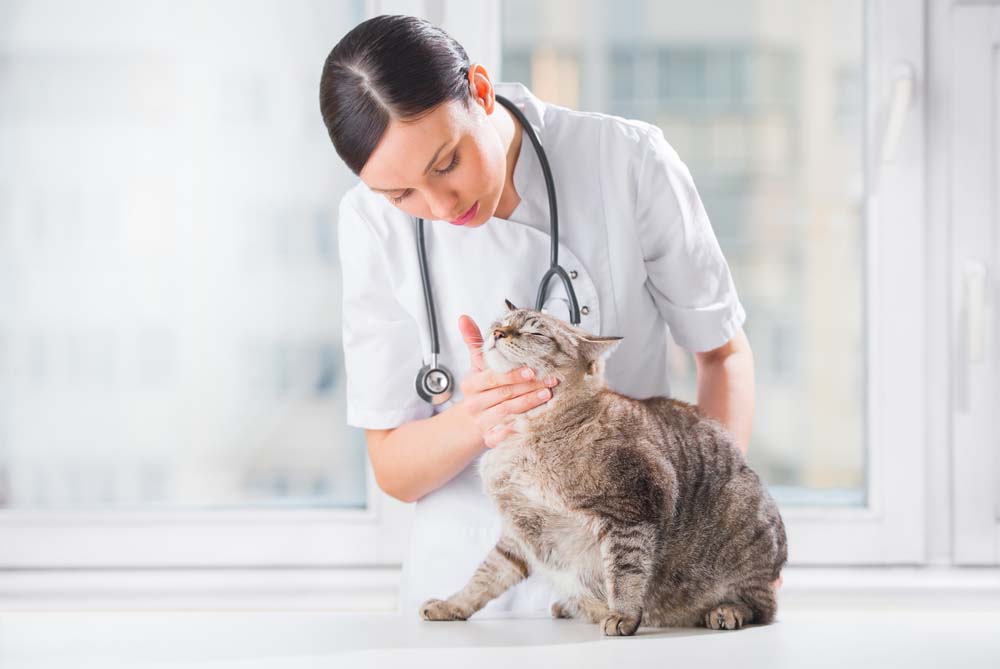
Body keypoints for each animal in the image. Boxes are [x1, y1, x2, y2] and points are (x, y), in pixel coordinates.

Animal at [418, 300, 784, 636]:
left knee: (762, 607)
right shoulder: (519, 532)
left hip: (745, 533)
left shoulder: (632, 507)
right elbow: (484, 577)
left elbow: (625, 573)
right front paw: (450, 605)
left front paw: (622, 615)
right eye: (501, 323)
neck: (523, 434)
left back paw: (726, 611)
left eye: (535, 332)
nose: (497, 333)